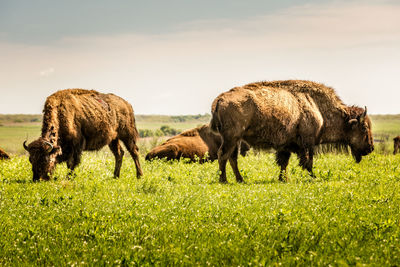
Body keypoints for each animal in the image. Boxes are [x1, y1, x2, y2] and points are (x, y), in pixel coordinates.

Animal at [211, 80, 374, 183]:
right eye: (364, 127)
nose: (371, 148)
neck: (317, 107)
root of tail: (220, 99)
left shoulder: (286, 146)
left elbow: (284, 162)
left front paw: (283, 179)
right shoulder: (307, 144)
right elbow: (308, 162)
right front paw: (313, 177)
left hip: (236, 139)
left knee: (232, 158)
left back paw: (240, 180)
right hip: (231, 137)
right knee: (223, 155)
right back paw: (224, 180)